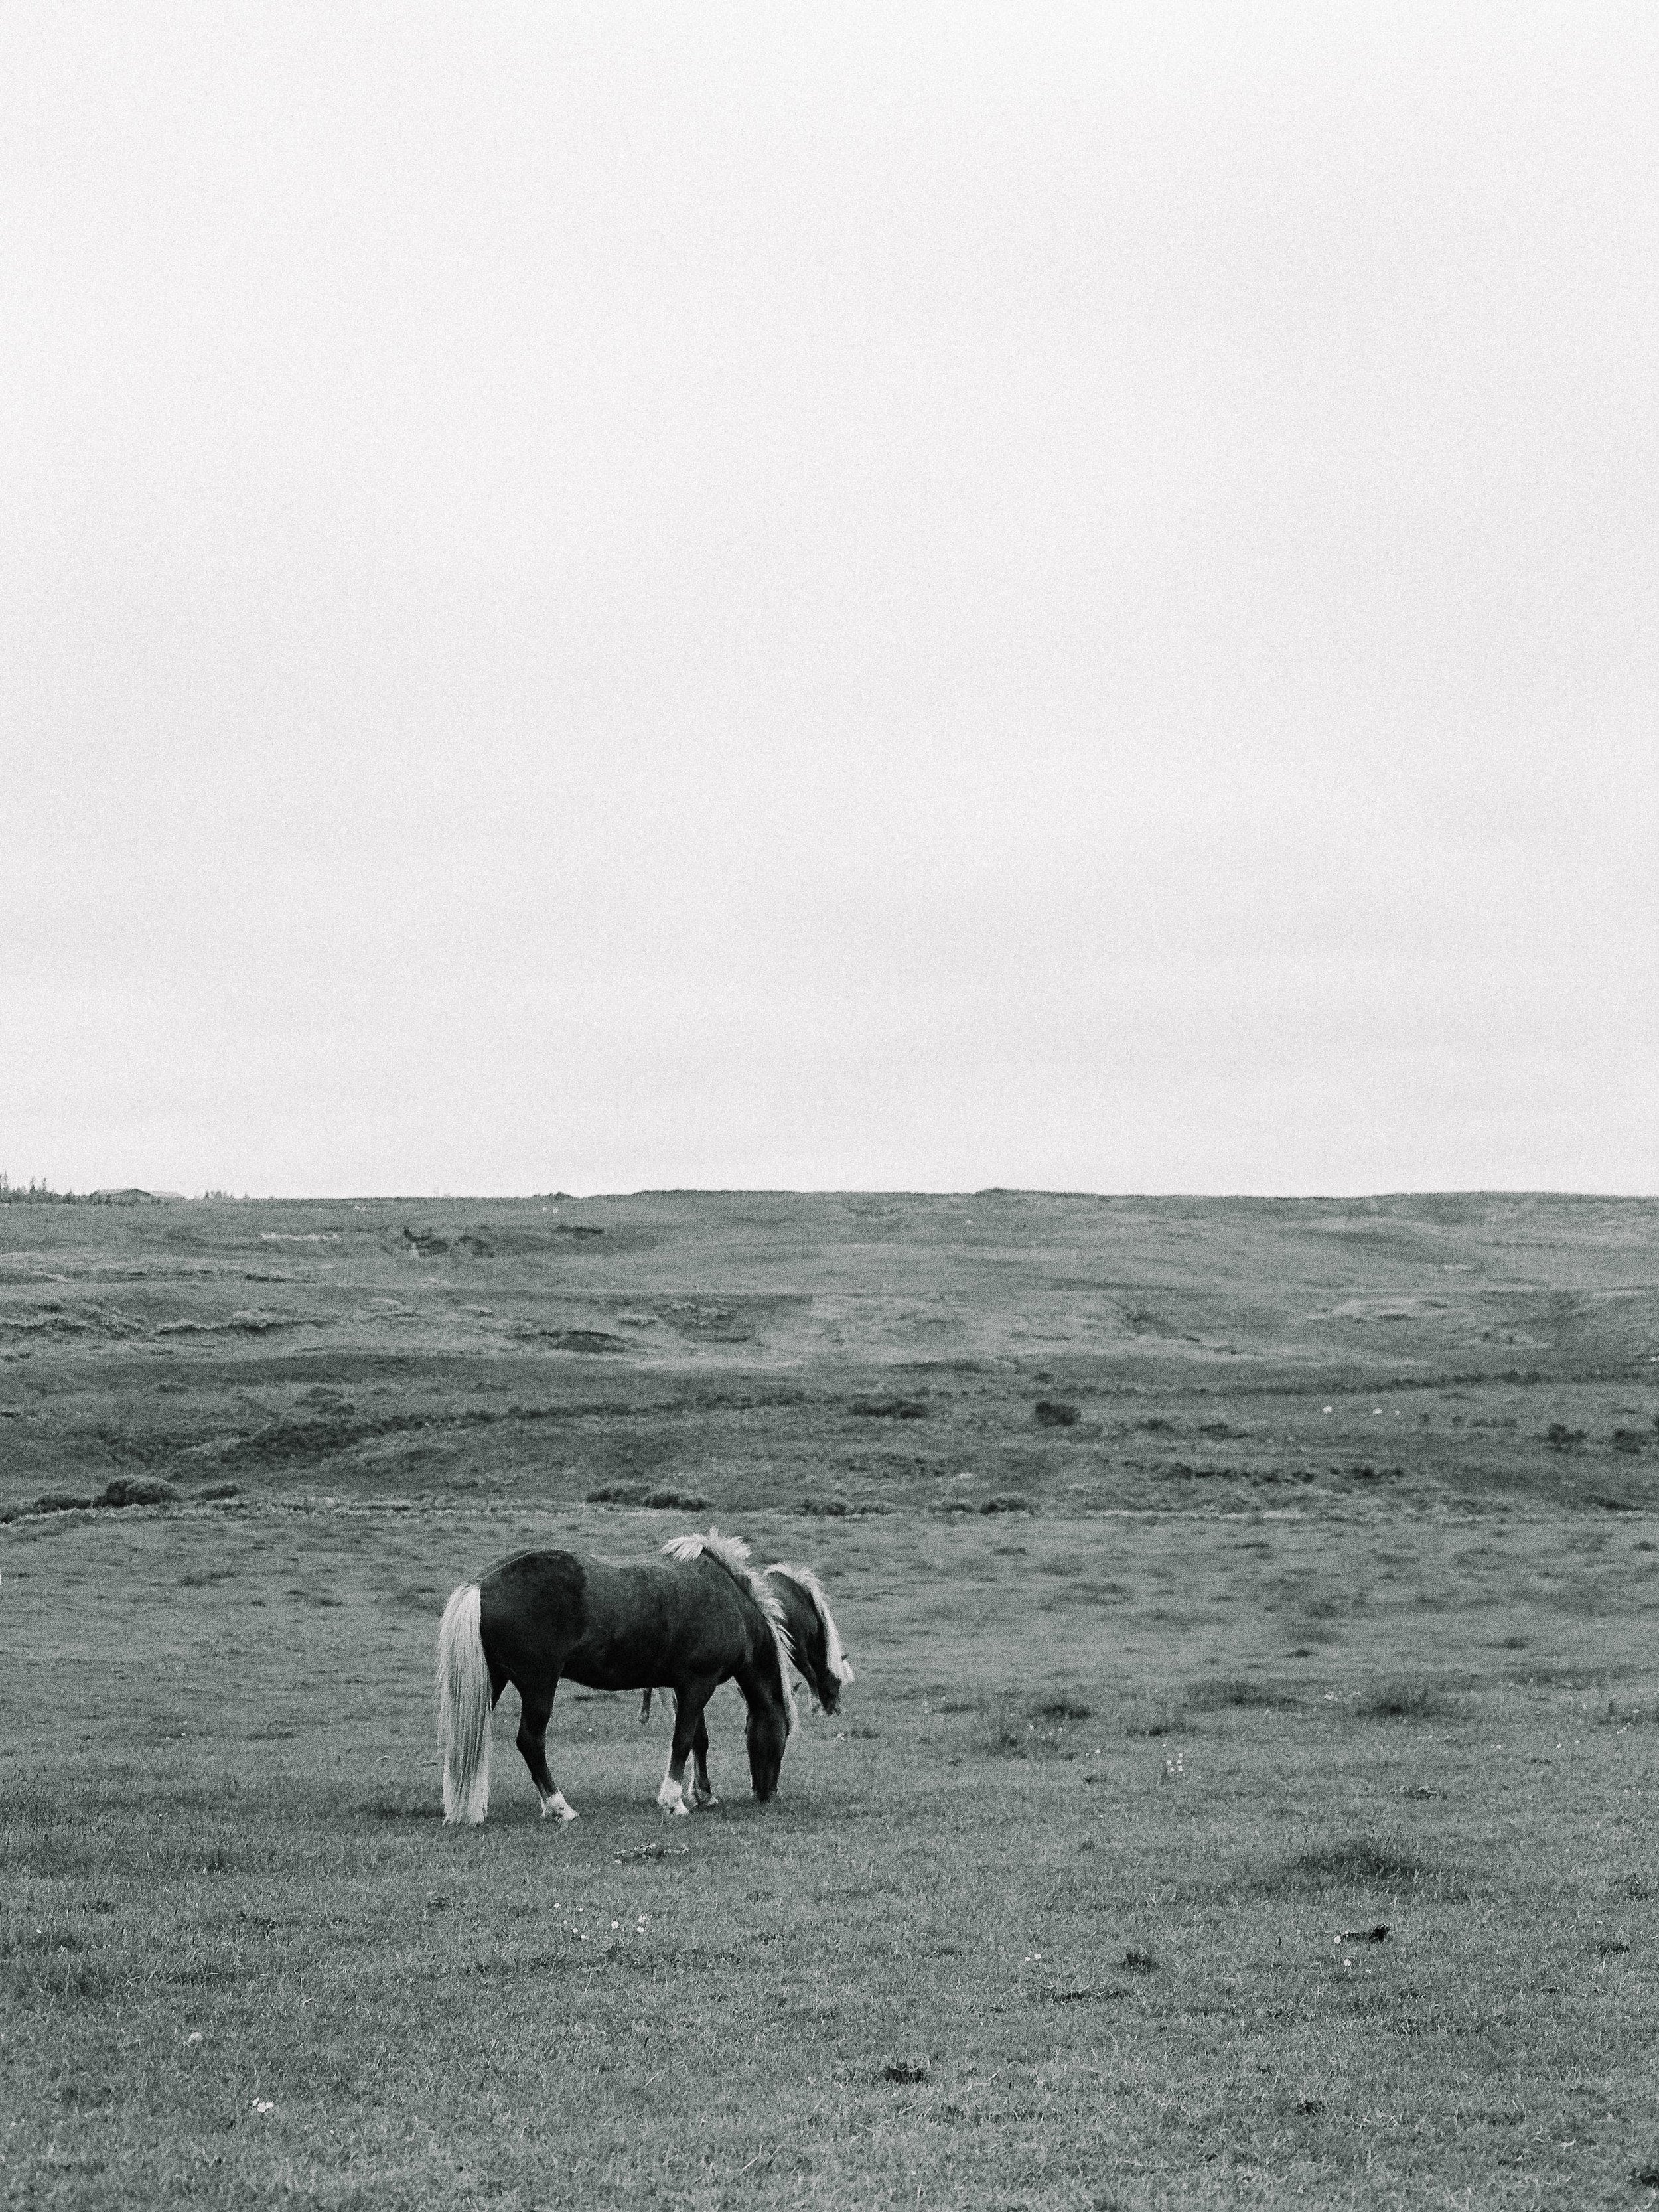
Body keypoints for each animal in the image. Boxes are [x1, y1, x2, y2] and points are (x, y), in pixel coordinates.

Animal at [438, 1530, 858, 1822]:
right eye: (782, 1735)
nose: (768, 1793)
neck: (732, 1605)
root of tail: (483, 1584)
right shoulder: (697, 1685)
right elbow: (683, 1741)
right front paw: (674, 1801)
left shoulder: (685, 1687)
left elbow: (699, 1741)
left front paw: (704, 1795)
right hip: (539, 1685)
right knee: (531, 1741)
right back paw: (560, 1808)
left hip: (494, 1682)